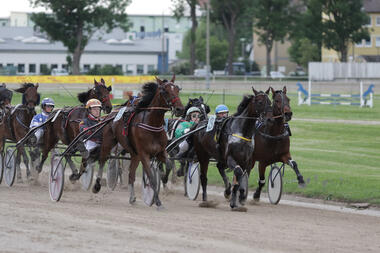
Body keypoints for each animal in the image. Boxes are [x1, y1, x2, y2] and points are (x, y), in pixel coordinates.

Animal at [93, 75, 186, 208]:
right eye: (164, 91)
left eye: (178, 89)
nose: (180, 109)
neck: (152, 124)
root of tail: (112, 113)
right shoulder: (144, 154)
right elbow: (151, 177)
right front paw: (157, 201)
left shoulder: (160, 152)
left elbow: (167, 165)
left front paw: (165, 178)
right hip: (108, 142)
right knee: (102, 160)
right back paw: (97, 185)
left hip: (134, 154)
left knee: (131, 175)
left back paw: (132, 198)